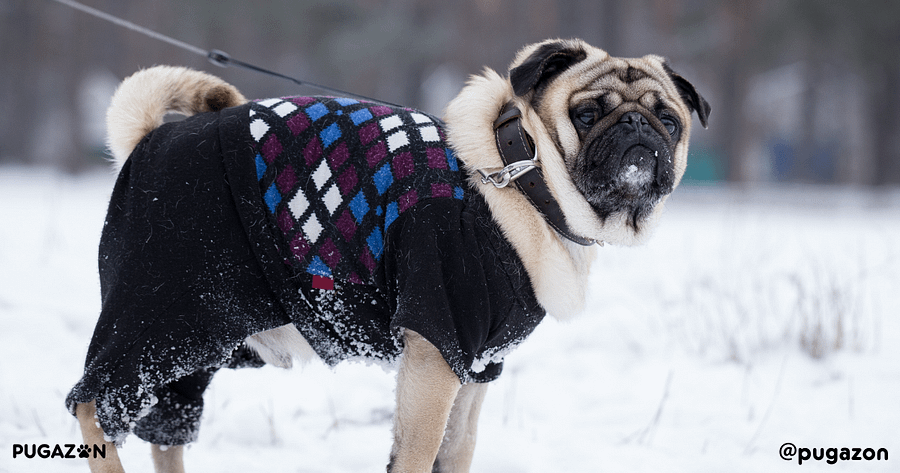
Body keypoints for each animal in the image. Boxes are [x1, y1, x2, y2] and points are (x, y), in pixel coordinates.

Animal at [70, 37, 708, 472]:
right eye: (586, 112)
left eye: (668, 119)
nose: (637, 127)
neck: (522, 175)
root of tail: (150, 138)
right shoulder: (436, 351)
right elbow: (419, 453)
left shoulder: (476, 364)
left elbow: (458, 449)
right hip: (159, 322)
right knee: (94, 407)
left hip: (195, 342)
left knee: (167, 428)